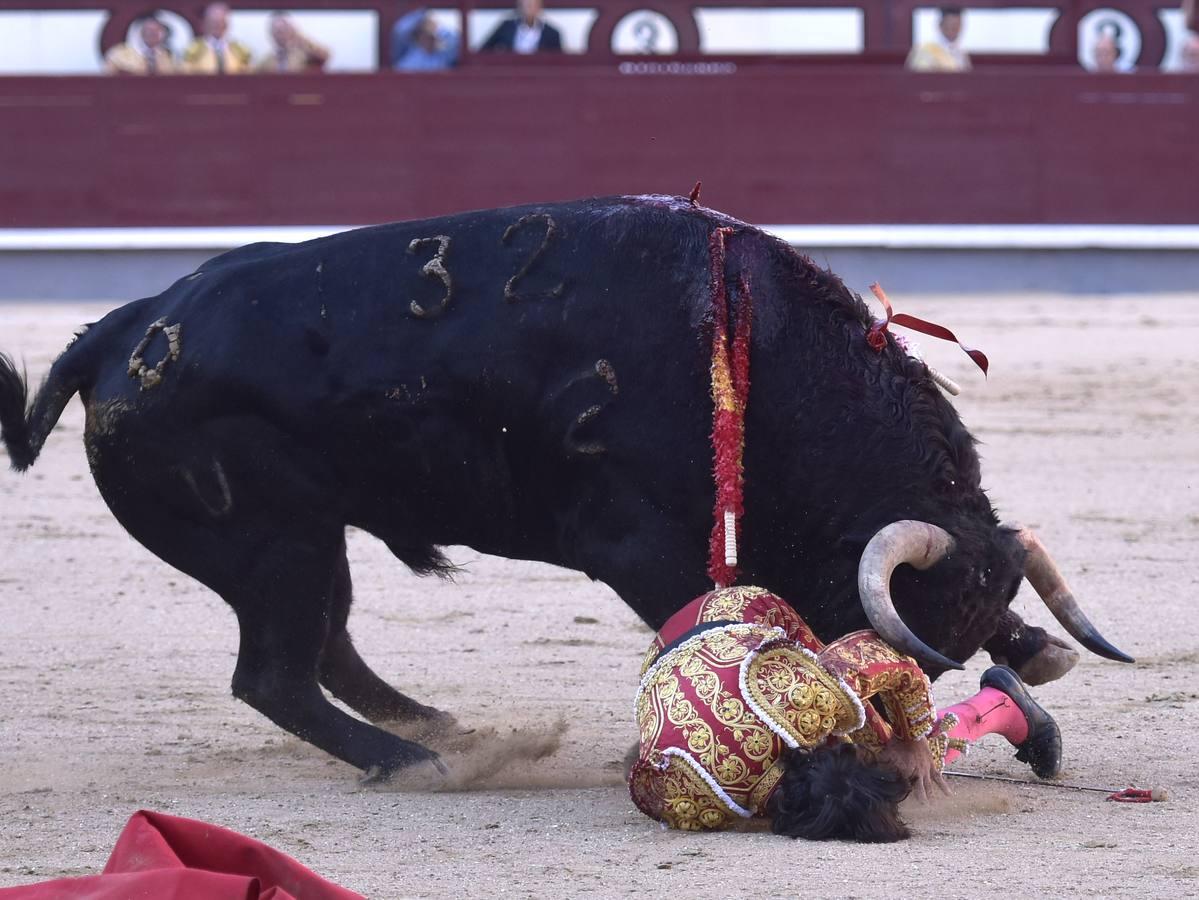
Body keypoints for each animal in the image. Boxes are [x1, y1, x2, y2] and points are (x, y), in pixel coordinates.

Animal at [0, 198, 1131, 781]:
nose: (906, 750)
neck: (750, 351)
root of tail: (120, 330)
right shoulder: (636, 548)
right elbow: (709, 621)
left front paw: (1033, 650)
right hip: (274, 540)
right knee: (273, 673)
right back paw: (414, 763)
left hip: (313, 535)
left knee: (324, 645)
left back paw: (441, 731)